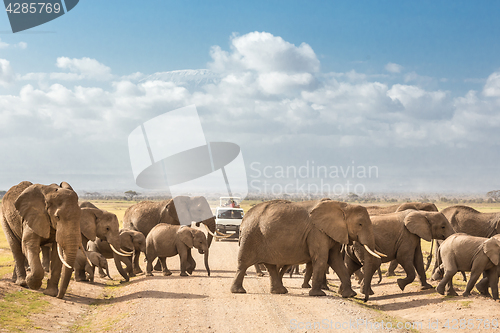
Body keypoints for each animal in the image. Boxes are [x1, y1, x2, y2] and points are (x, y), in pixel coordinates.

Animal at [231, 198, 382, 300]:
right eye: (360, 224)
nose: (365, 299)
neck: (342, 205)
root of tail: (244, 219)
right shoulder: (317, 232)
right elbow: (322, 259)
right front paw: (318, 294)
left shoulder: (331, 232)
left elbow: (335, 260)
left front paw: (350, 295)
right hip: (251, 236)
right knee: (243, 263)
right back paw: (238, 291)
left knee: (271, 266)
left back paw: (280, 291)